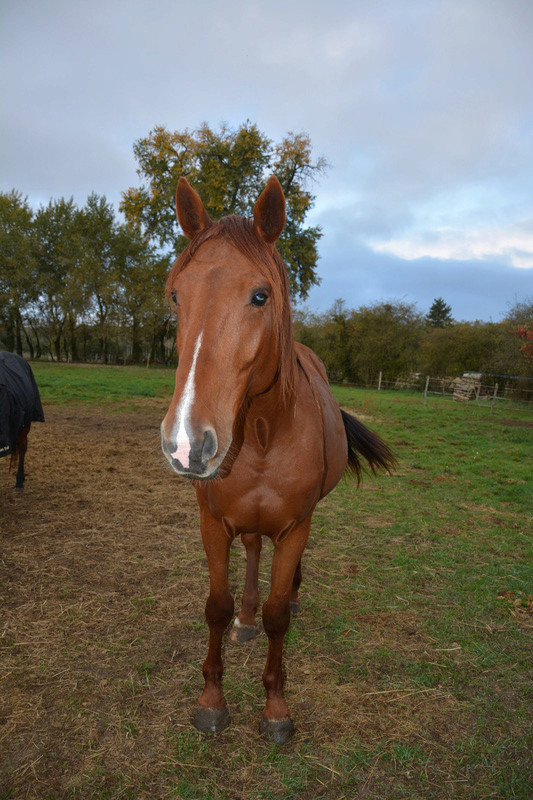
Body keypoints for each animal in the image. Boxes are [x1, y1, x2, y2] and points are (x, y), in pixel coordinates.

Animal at [160, 175, 392, 744]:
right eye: (176, 294)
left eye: (260, 296)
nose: (186, 443)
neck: (265, 433)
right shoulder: (212, 522)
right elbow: (216, 607)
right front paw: (212, 701)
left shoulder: (293, 528)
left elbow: (278, 617)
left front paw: (275, 709)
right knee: (251, 553)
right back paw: (246, 619)